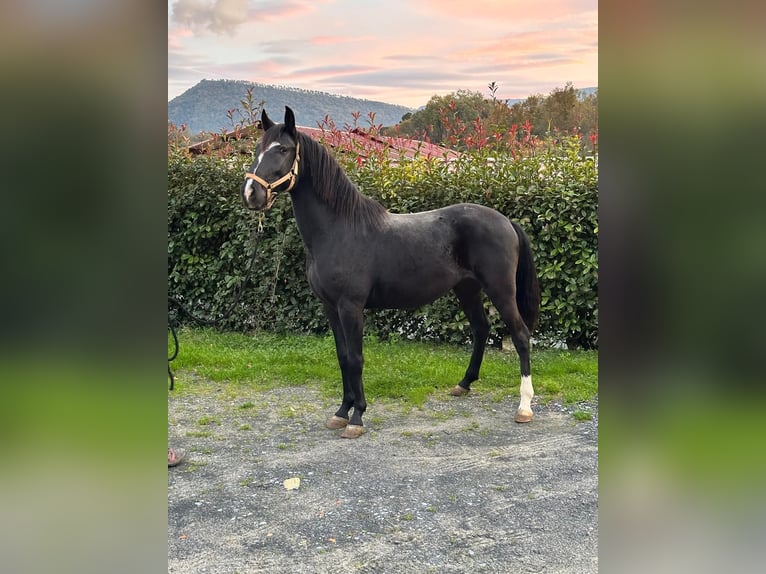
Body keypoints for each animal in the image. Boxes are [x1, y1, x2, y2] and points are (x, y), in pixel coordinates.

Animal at [243, 107, 544, 440]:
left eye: (283, 149)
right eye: (257, 149)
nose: (251, 193)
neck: (338, 230)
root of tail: (506, 221)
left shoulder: (351, 307)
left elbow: (356, 359)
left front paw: (357, 417)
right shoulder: (330, 308)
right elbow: (342, 357)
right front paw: (341, 412)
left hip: (501, 290)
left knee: (521, 336)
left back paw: (524, 407)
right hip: (467, 289)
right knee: (481, 329)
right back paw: (464, 384)